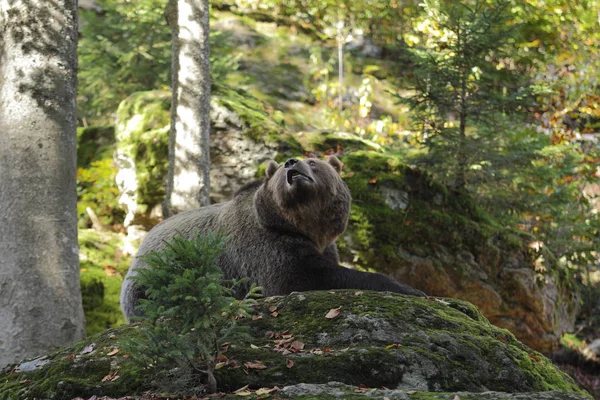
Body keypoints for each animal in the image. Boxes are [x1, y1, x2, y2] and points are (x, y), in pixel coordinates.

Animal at [119, 156, 424, 322]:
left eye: (313, 161)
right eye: (281, 168)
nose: (291, 163)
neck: (301, 224)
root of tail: (141, 245)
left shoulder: (322, 245)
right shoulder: (265, 247)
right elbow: (304, 277)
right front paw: (411, 289)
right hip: (157, 277)